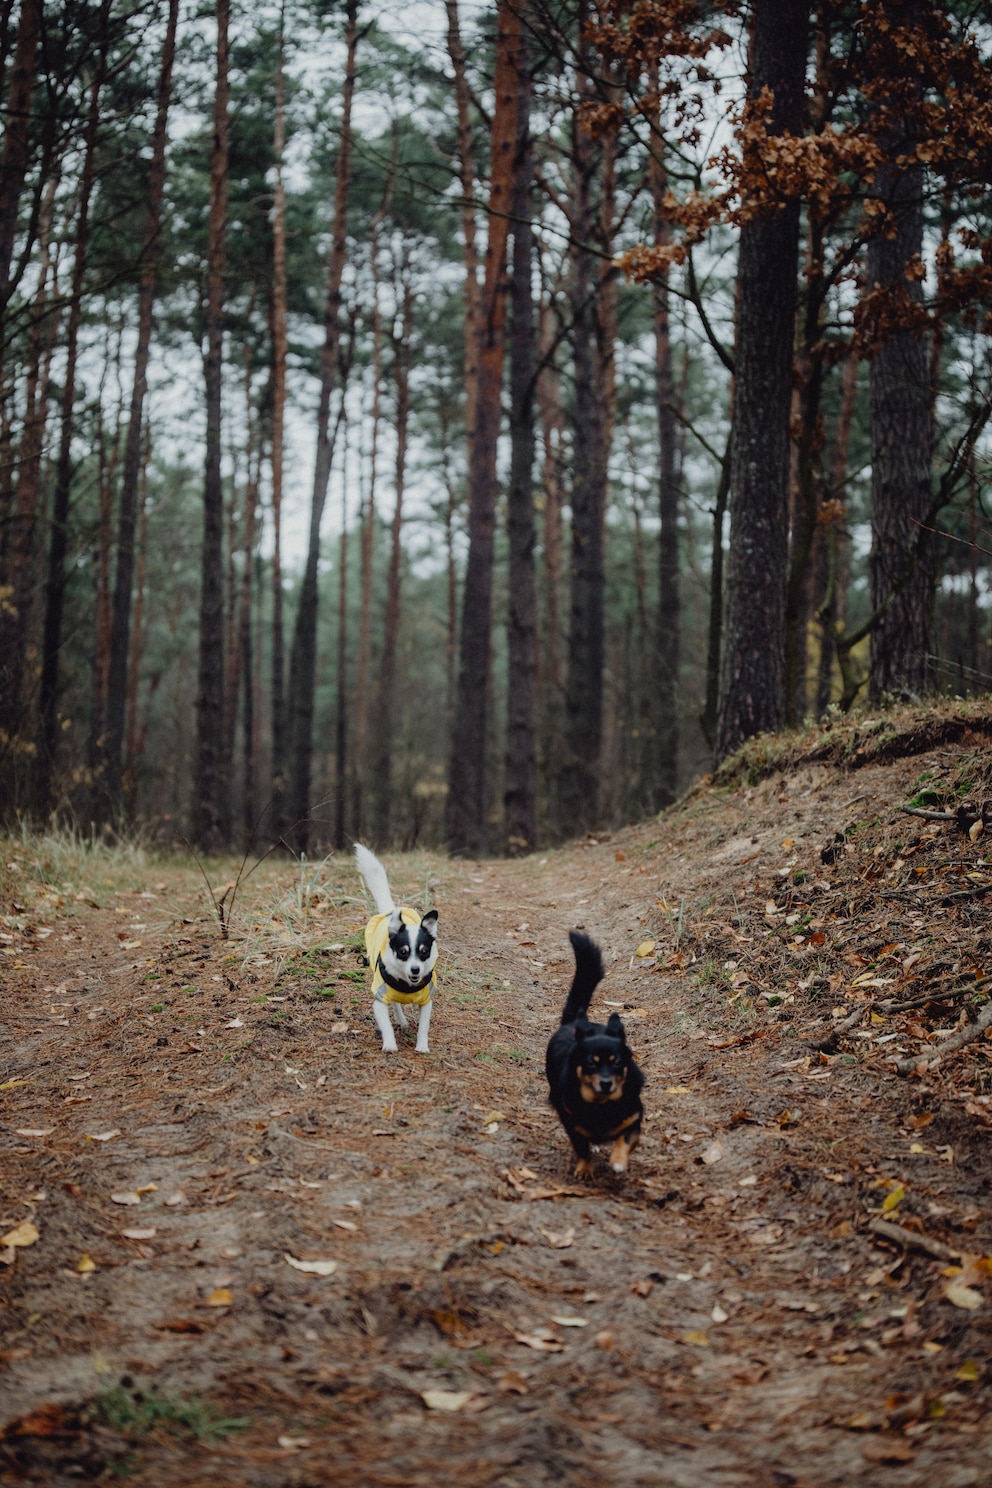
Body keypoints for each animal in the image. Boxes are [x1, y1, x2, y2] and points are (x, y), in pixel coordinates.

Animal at [352, 845, 437, 1053]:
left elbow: (424, 1026)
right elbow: (386, 1024)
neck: (407, 985)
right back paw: (401, 1019)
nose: (415, 969)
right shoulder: (380, 1001)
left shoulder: (426, 1002)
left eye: (424, 952)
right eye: (403, 952)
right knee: (396, 1005)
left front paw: (422, 1046)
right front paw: (390, 1044)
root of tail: (391, 913)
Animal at [547, 928, 648, 1172]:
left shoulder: (634, 1118)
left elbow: (625, 1139)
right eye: (590, 1063)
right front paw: (585, 1169)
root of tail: (573, 1022)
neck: (601, 1105)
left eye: (617, 1062)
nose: (605, 1083)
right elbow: (580, 1146)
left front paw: (618, 1160)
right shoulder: (571, 1123)